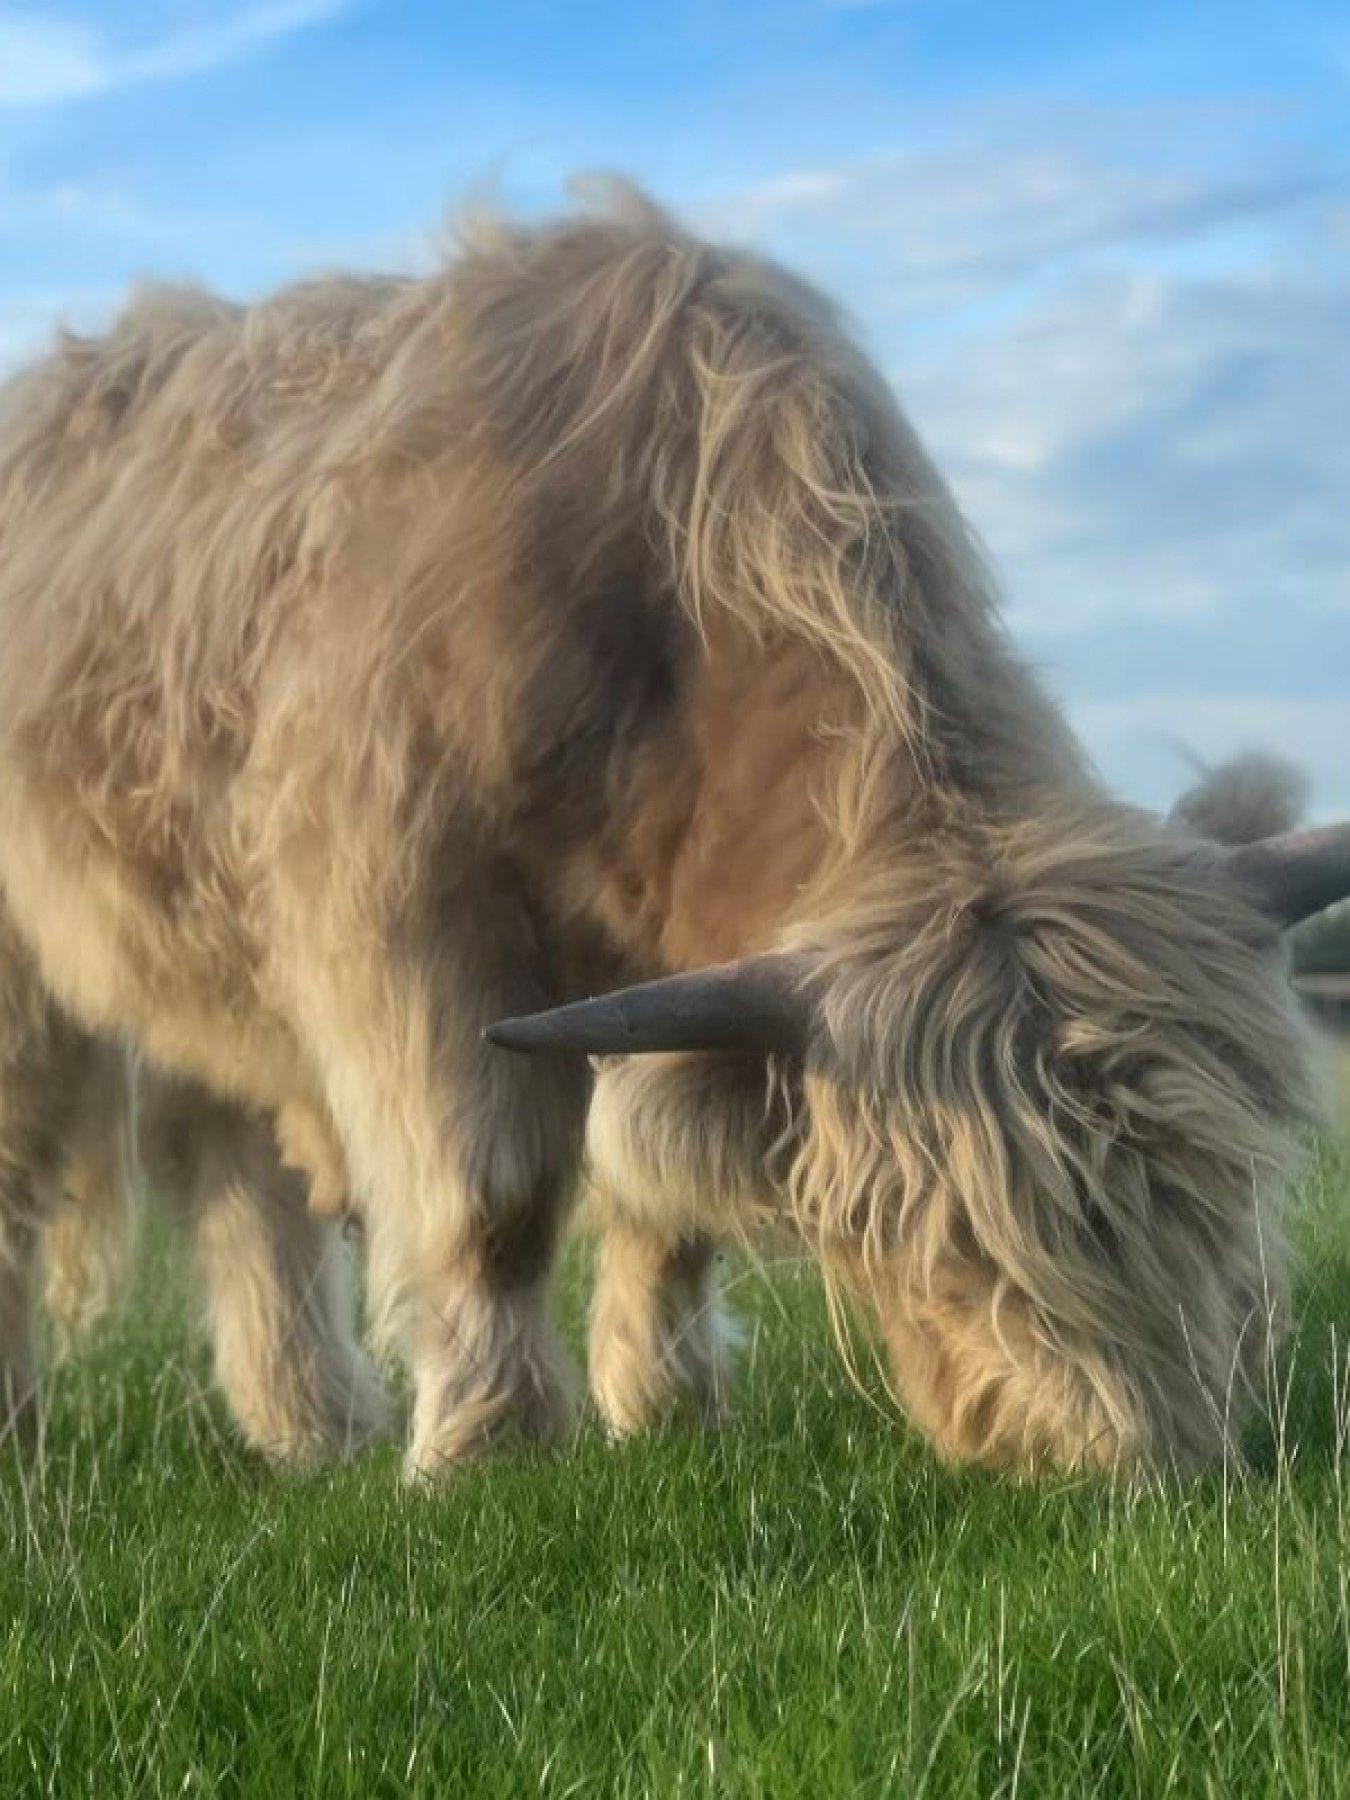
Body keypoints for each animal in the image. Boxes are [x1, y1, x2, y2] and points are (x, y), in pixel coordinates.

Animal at [1, 182, 1346, 1477]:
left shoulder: (672, 979)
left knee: (231, 1171)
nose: (1143, 1464)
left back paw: (311, 1428)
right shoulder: (415, 935)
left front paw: (663, 1410)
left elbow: (660, 1188)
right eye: (949, 1246)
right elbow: (493, 1202)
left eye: (1224, 1186)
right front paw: (487, 1448)